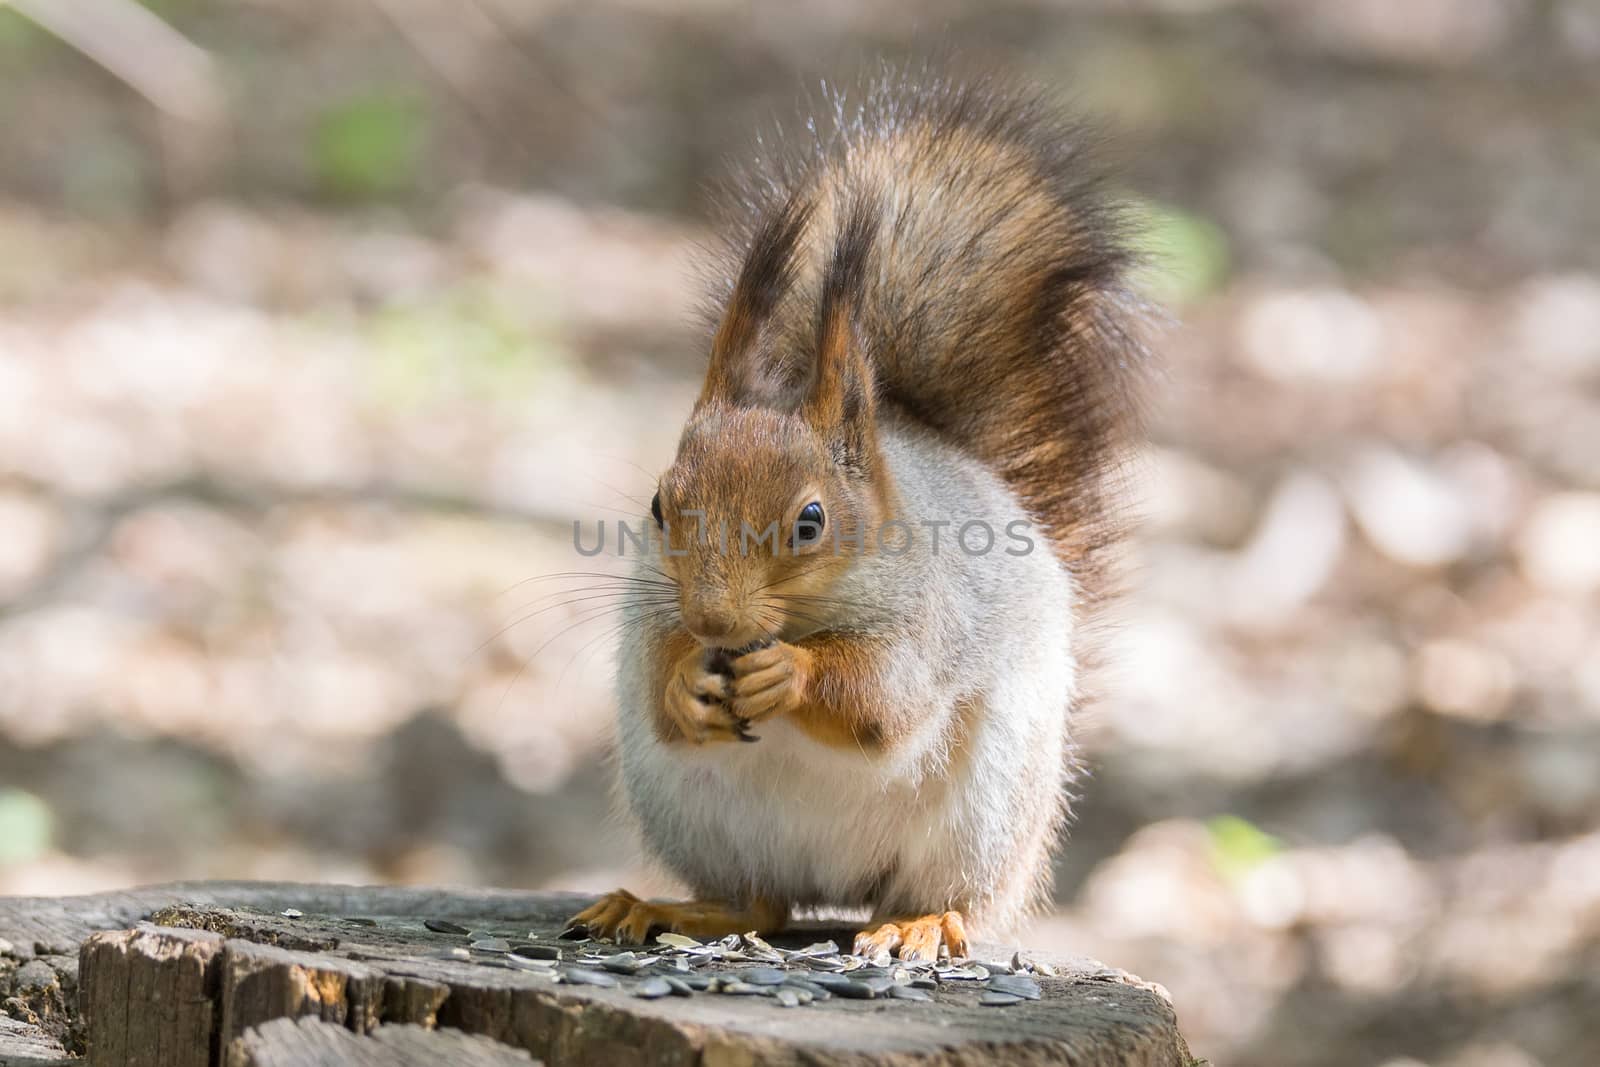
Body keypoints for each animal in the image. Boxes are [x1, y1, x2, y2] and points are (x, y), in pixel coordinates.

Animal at [569, 70, 1145, 966]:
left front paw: (789, 674)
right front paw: (687, 683)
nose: (714, 618)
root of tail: (834, 887)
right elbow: (664, 685)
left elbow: (884, 702)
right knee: (760, 905)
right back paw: (660, 906)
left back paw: (919, 923)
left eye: (811, 520)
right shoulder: (652, 607)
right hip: (701, 820)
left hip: (983, 822)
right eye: (661, 505)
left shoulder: (931, 616)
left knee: (947, 898)